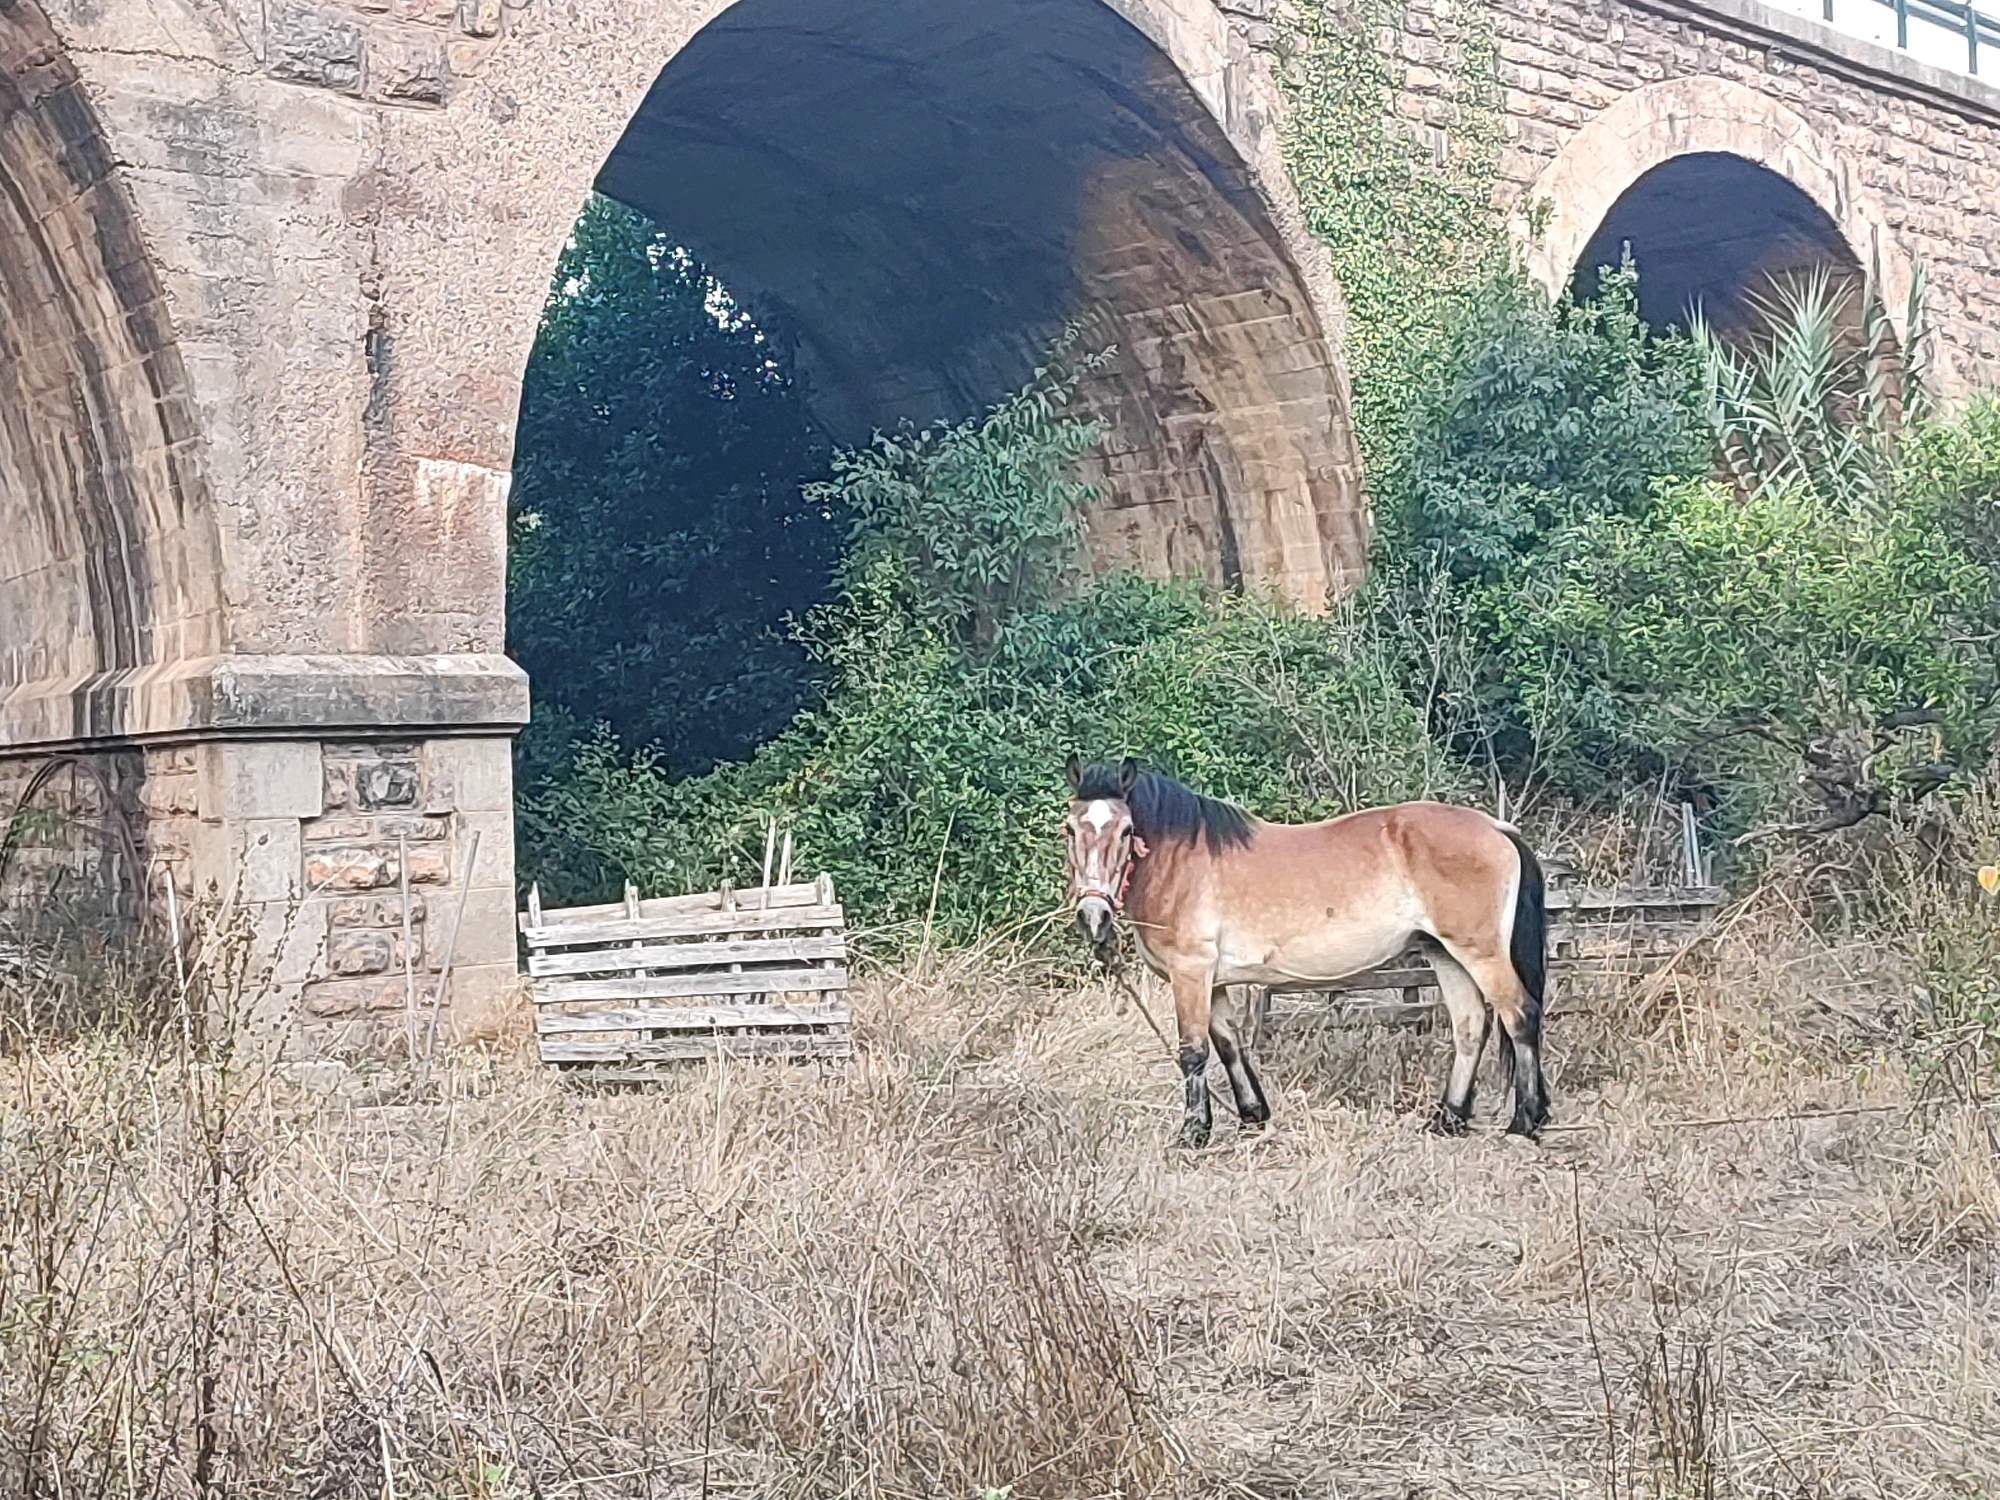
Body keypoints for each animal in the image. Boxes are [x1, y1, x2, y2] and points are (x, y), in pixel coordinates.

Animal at [1063, 756, 1548, 1146]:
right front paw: (1252, 1116)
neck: (1181, 862)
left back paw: (1525, 1121)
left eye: (1127, 830)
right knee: (1470, 1027)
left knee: (1519, 1015)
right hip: (1445, 954)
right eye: (1069, 829)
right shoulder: (1213, 980)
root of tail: (1495, 828)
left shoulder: (1191, 972)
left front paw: (1193, 1133)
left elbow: (1194, 1052)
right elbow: (1229, 1044)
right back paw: (1448, 1119)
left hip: (1480, 953)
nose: (1092, 915)